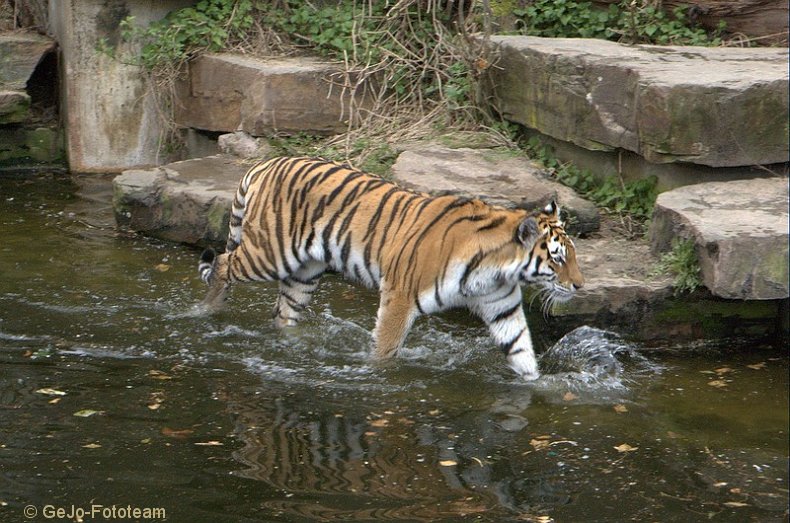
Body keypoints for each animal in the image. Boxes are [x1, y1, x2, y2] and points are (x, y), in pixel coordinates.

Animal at [198, 156, 580, 380]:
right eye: (557, 258)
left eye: (573, 256)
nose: (580, 286)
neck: (497, 269)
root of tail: (267, 162)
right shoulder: (400, 295)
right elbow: (386, 346)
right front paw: (376, 373)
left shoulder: (501, 305)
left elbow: (521, 349)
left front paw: (537, 385)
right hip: (270, 253)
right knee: (221, 263)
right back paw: (209, 311)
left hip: (304, 274)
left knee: (283, 312)